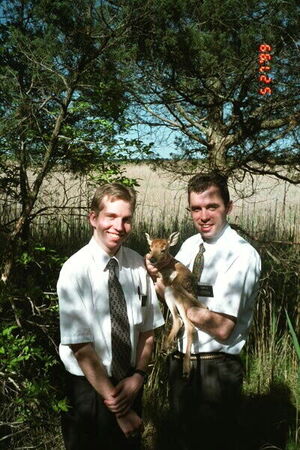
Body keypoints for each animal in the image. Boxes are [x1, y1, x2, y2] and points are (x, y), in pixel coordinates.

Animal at [145, 232, 206, 376]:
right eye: (150, 248)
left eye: (164, 249)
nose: (152, 259)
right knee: (181, 321)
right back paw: (166, 348)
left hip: (174, 294)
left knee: (186, 324)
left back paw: (185, 368)